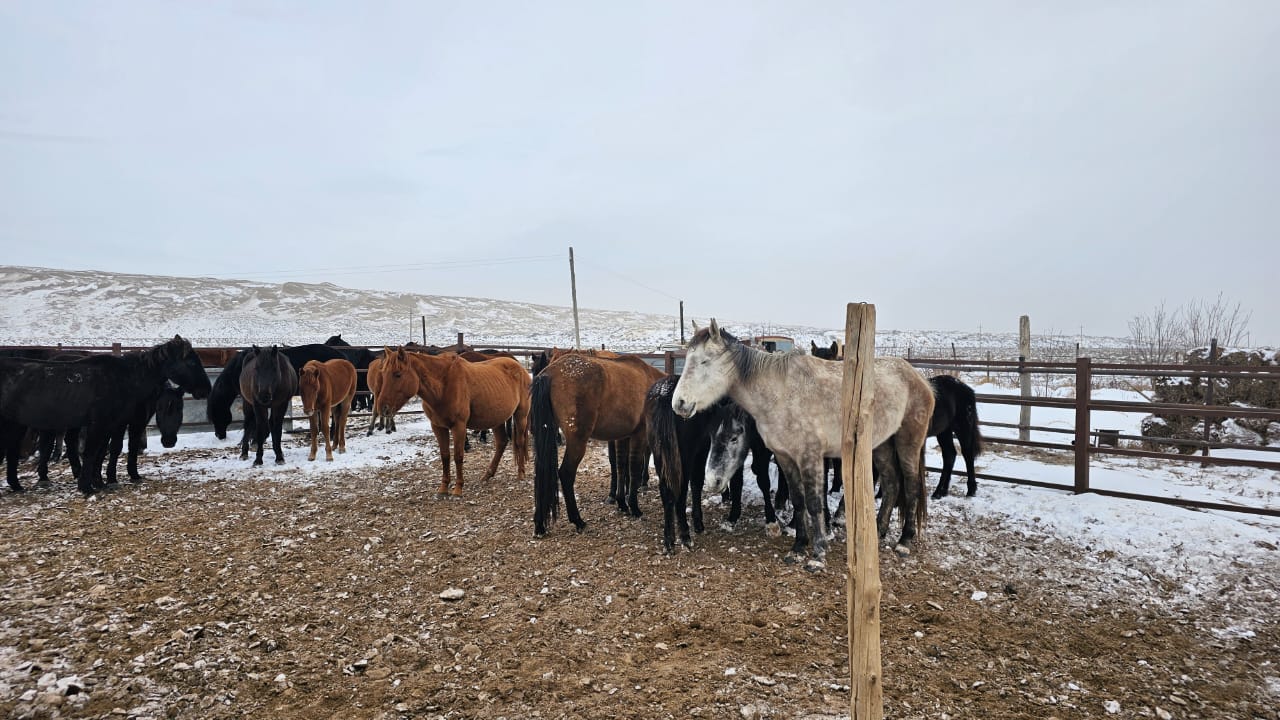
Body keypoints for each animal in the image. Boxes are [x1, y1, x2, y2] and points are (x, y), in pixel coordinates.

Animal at [0, 335, 211, 494]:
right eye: (192, 362)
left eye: (179, 409)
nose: (206, 389)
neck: (125, 379)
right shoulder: (102, 424)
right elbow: (94, 451)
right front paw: (88, 486)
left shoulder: (114, 425)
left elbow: (103, 451)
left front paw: (100, 481)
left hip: (18, 424)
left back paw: (18, 484)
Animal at [376, 348, 530, 497]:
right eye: (383, 373)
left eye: (397, 374)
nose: (382, 408)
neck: (443, 386)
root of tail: (521, 368)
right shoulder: (438, 427)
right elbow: (445, 456)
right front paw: (443, 488)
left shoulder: (459, 426)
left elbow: (458, 456)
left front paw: (458, 489)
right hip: (496, 419)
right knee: (501, 443)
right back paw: (488, 474)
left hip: (521, 416)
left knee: (520, 442)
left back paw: (521, 473)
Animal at [531, 352, 666, 536]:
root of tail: (549, 373)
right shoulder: (639, 435)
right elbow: (633, 468)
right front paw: (634, 507)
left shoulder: (622, 437)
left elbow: (621, 467)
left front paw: (621, 503)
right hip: (578, 442)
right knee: (566, 473)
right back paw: (577, 520)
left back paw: (539, 525)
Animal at [671, 320, 935, 570]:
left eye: (704, 361)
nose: (679, 403)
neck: (781, 394)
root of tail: (919, 378)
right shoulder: (785, 457)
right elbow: (798, 501)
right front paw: (798, 547)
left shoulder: (811, 457)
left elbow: (815, 503)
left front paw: (818, 555)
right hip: (881, 445)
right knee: (891, 483)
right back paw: (879, 531)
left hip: (908, 443)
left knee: (911, 486)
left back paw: (904, 541)